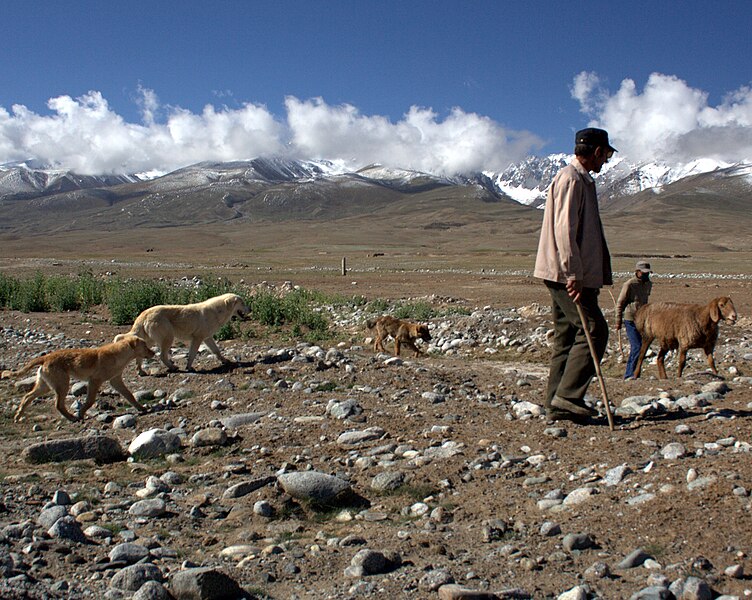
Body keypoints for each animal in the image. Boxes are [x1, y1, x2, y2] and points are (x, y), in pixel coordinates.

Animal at [1, 336, 154, 424]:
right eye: (145, 346)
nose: (153, 353)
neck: (120, 354)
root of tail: (46, 357)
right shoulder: (95, 381)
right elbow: (90, 401)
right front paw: (81, 413)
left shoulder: (116, 380)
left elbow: (129, 395)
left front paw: (141, 408)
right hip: (62, 384)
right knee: (58, 405)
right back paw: (72, 418)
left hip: (44, 385)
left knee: (27, 397)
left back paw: (18, 416)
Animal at [114, 292, 250, 372]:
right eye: (242, 302)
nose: (251, 309)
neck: (218, 311)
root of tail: (144, 314)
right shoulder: (197, 338)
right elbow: (192, 354)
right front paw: (189, 367)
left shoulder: (207, 338)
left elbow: (216, 351)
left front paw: (225, 361)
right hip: (168, 337)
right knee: (162, 356)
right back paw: (173, 367)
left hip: (149, 341)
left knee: (140, 355)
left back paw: (141, 371)